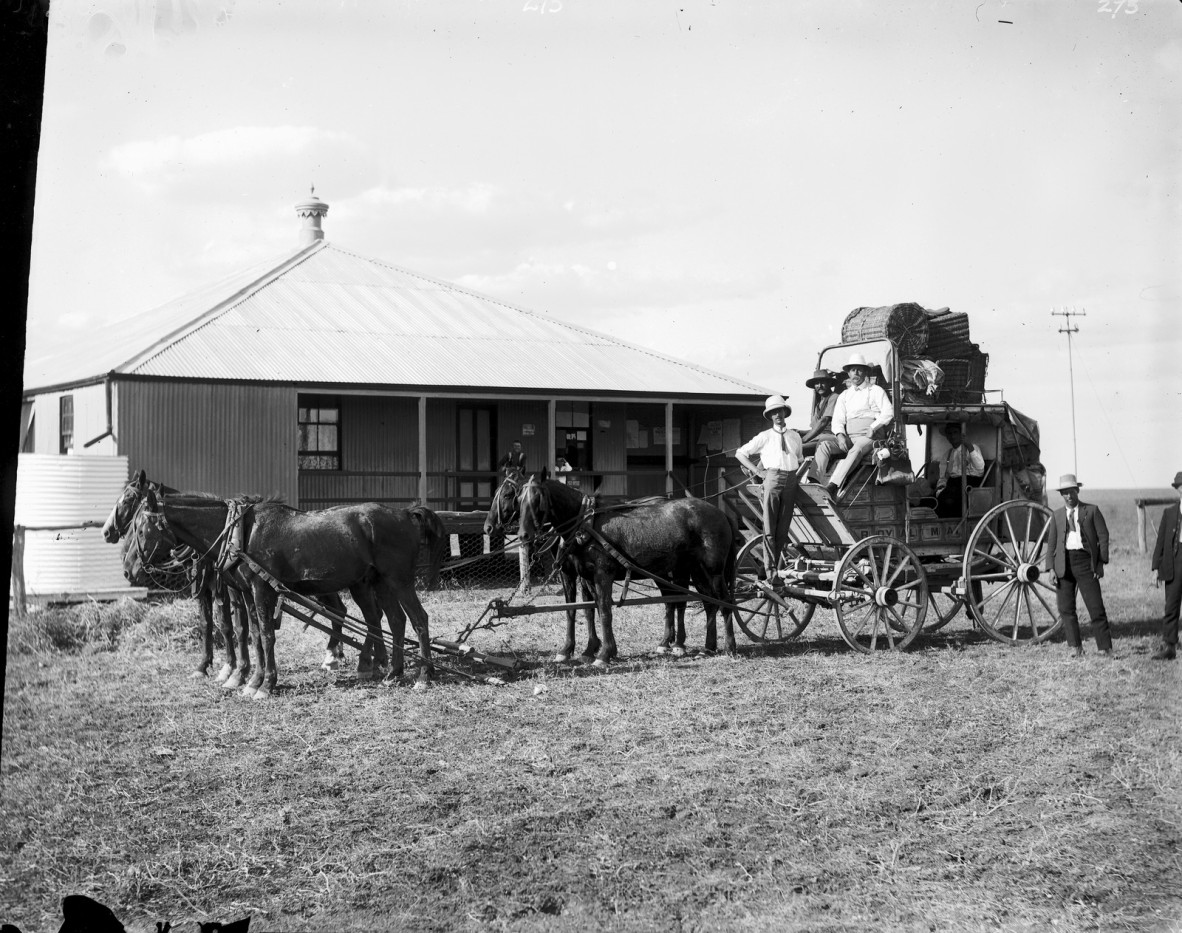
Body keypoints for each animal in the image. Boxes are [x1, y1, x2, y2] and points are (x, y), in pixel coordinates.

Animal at [517, 473, 737, 662]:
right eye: (519, 499)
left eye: (537, 499)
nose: (523, 535)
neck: (586, 523)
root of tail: (721, 513)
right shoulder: (579, 575)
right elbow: (582, 609)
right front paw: (579, 650)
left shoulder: (602, 574)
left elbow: (604, 609)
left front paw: (604, 654)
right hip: (696, 571)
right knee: (707, 603)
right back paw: (707, 647)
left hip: (711, 571)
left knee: (722, 601)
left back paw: (727, 647)